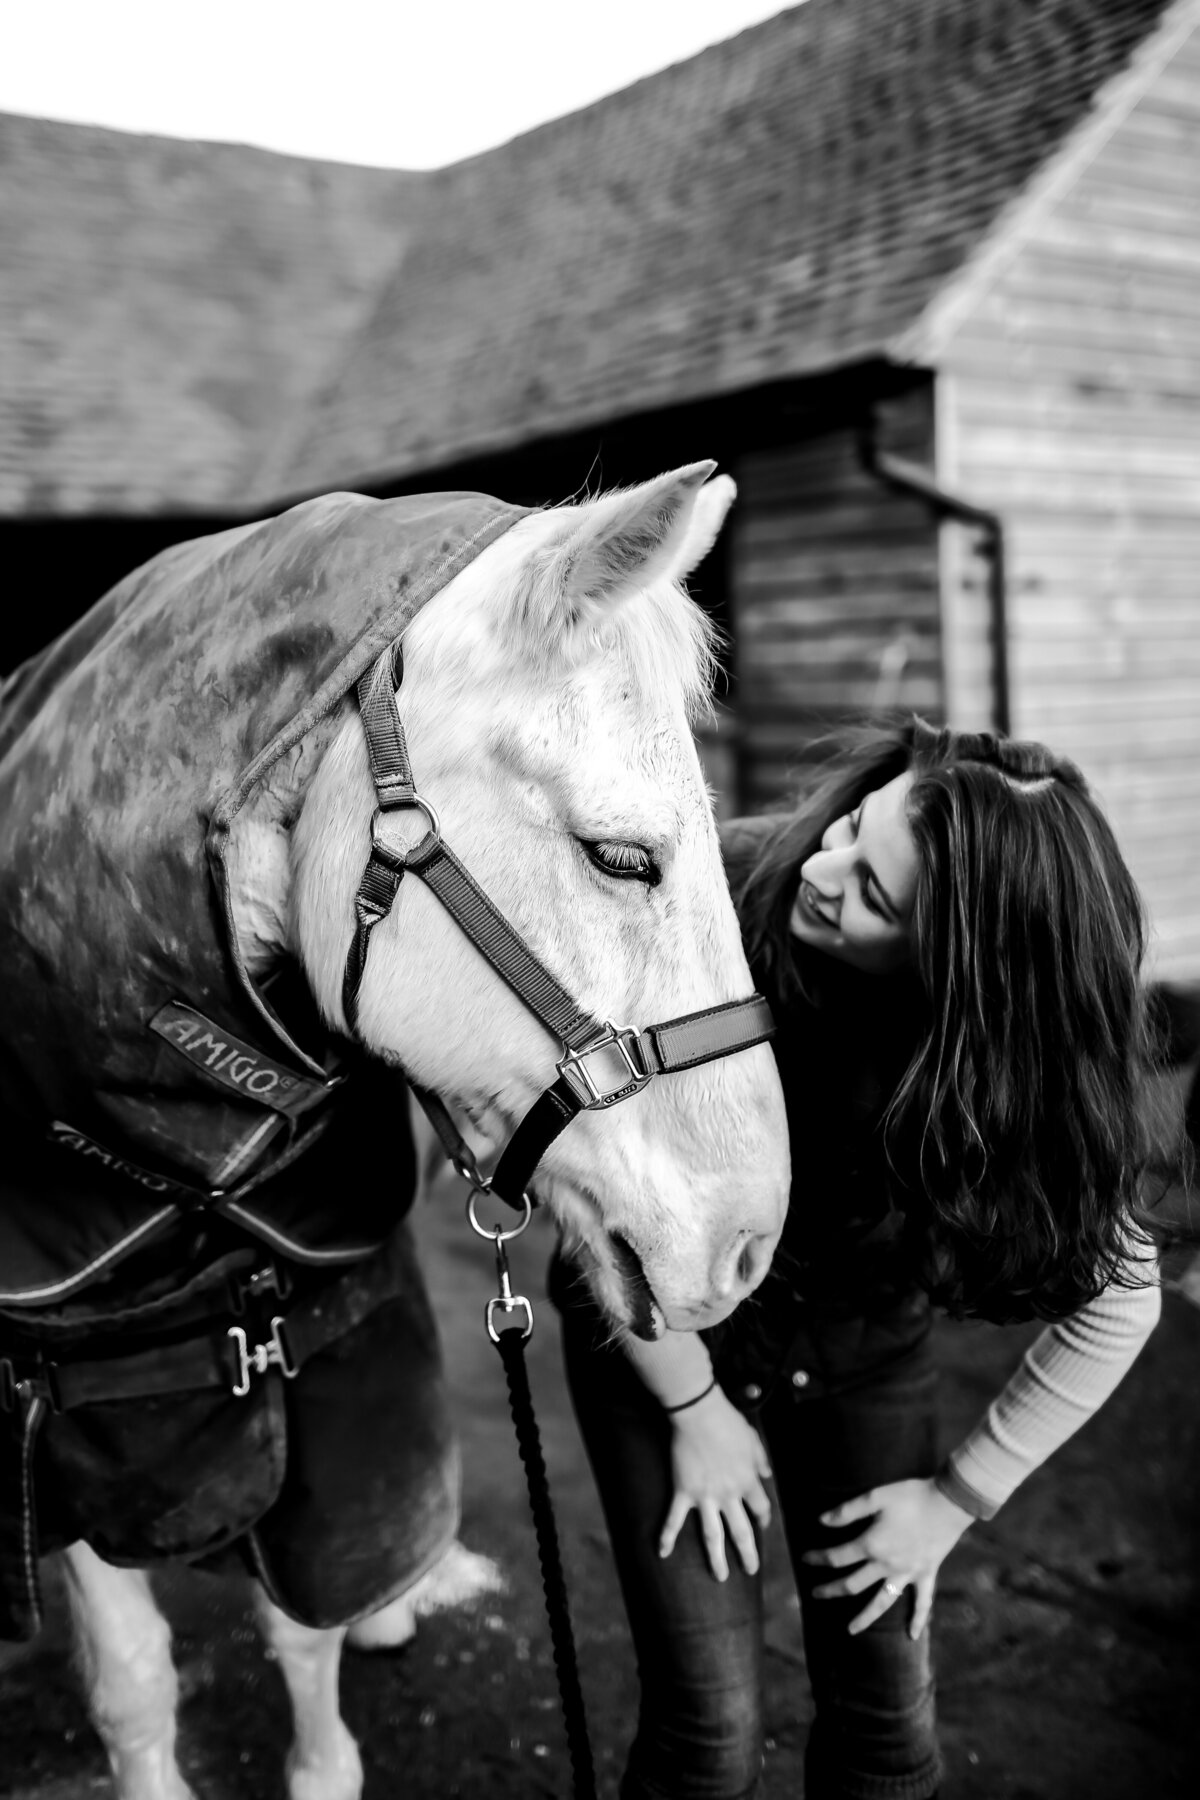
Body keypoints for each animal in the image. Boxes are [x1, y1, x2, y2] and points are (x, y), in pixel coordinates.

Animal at [0, 468, 788, 1800]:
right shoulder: (77, 1421)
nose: (749, 1246)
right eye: (622, 857)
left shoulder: (341, 1362)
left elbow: (309, 1617)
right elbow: (135, 1677)